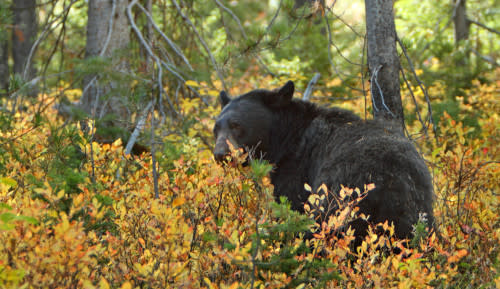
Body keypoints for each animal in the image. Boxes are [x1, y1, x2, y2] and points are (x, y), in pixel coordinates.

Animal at [214, 80, 434, 241]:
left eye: (236, 125)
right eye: (216, 127)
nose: (220, 153)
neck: (287, 138)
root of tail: (390, 181)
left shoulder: (297, 169)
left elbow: (290, 206)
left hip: (338, 198)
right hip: (417, 210)